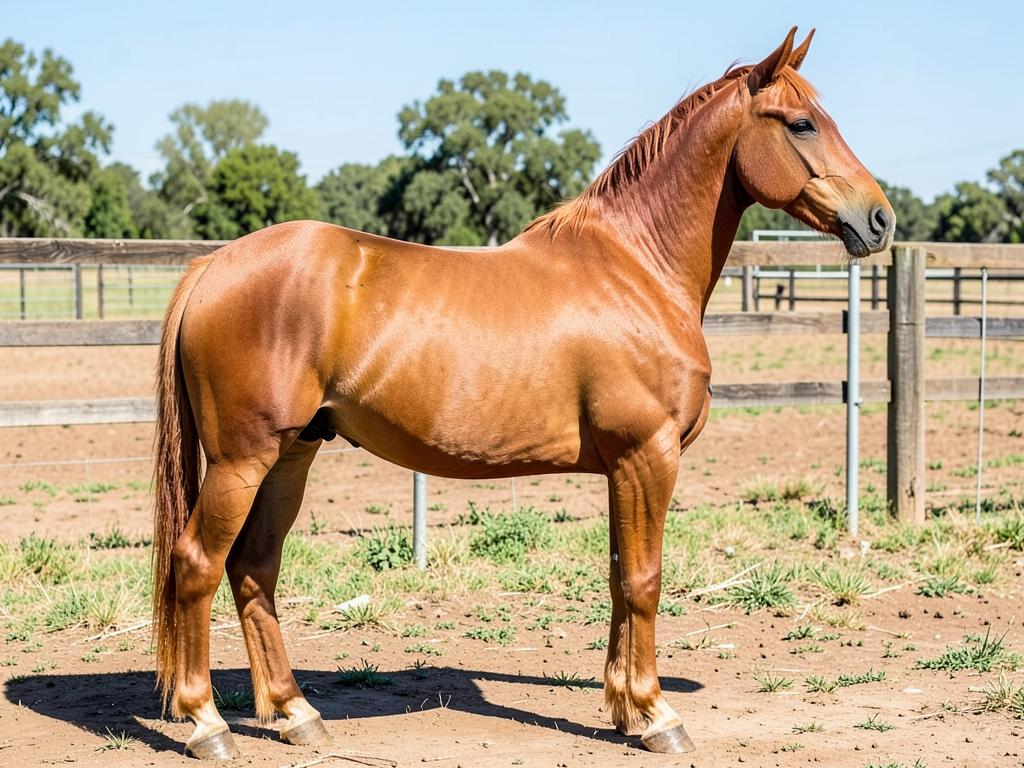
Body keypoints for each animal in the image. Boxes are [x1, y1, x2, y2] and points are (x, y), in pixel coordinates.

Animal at [151, 26, 895, 759]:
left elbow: (620, 578)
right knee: (197, 565)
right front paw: (658, 714)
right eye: (801, 123)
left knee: (254, 568)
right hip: (242, 461)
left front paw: (622, 710)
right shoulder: (647, 457)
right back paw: (208, 723)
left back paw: (296, 713)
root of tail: (213, 264)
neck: (636, 271)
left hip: (292, 456)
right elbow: (645, 581)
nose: (880, 219)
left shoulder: (623, 469)